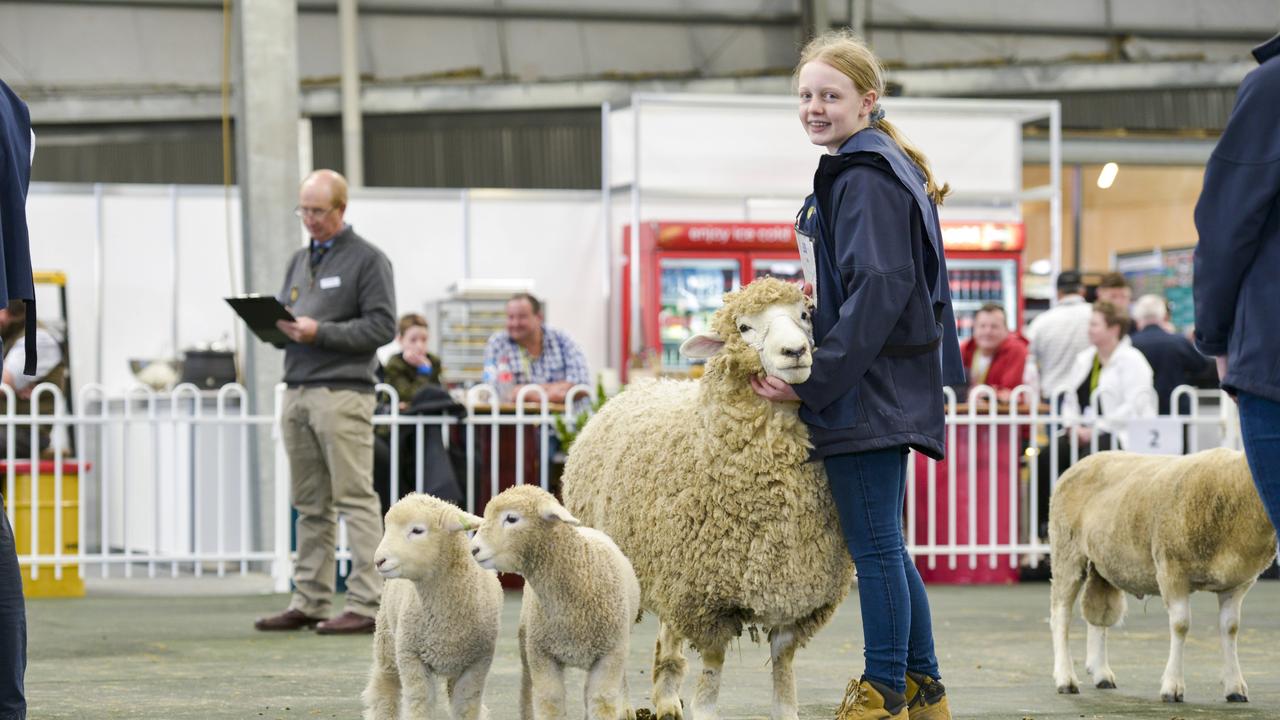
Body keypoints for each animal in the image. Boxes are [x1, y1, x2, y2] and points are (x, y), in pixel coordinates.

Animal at [363, 489, 501, 717]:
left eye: (417, 530)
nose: (379, 561)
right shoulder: (410, 656)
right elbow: (419, 702)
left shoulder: (478, 662)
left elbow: (466, 705)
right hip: (387, 638)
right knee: (385, 686)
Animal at [465, 481, 640, 717]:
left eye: (511, 518)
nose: (474, 549)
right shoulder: (542, 655)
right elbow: (550, 702)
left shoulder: (610, 656)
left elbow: (601, 702)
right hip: (527, 642)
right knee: (527, 690)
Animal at [558, 279, 849, 717]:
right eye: (743, 327)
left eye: (804, 315)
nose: (795, 352)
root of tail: (636, 389)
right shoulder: (706, 598)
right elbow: (711, 672)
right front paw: (703, 707)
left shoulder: (795, 591)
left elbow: (783, 668)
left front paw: (784, 708)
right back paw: (621, 704)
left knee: (667, 638)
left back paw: (665, 699)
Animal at [1044, 448, 1274, 702]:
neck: (1235, 488)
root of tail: (1083, 462)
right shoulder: (1171, 569)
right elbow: (1181, 625)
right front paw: (1172, 687)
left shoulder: (1236, 583)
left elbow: (1230, 628)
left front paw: (1235, 687)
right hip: (1067, 552)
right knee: (1061, 616)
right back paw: (1065, 678)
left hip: (1105, 562)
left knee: (1098, 616)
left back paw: (1101, 673)